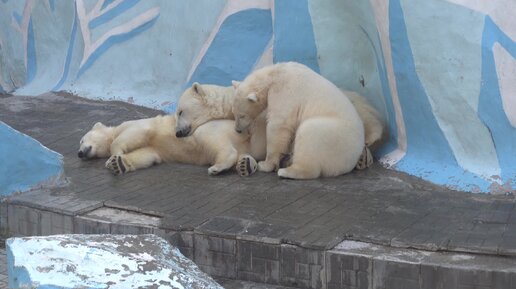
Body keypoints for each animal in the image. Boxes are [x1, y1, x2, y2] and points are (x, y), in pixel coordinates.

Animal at [76, 115, 258, 176]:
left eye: (82, 140)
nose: (79, 153)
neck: (113, 131)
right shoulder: (154, 148)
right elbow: (147, 154)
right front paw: (117, 164)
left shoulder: (136, 125)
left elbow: (137, 132)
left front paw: (113, 157)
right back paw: (246, 165)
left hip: (212, 128)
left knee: (211, 140)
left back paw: (218, 167)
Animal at [232, 62, 364, 179]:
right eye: (234, 114)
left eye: (242, 115)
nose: (237, 130)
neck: (275, 74)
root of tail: (354, 157)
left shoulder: (284, 92)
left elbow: (278, 125)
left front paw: (265, 165)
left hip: (336, 136)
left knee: (309, 134)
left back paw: (287, 171)